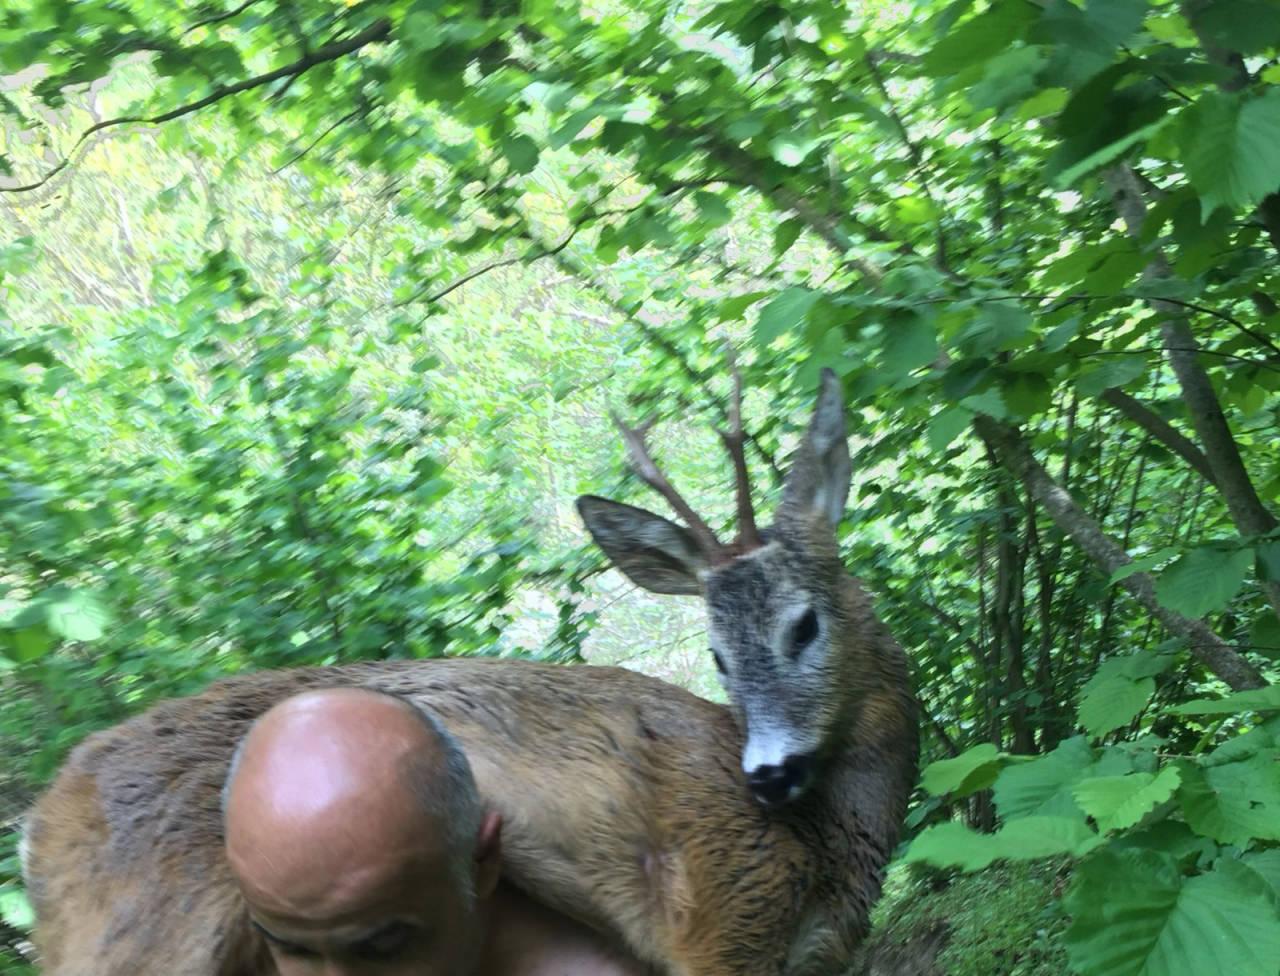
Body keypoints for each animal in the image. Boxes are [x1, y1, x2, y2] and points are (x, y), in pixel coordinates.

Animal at [22, 366, 921, 973]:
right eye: (717, 656)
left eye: (805, 624)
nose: (766, 773)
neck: (833, 843)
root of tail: (42, 825)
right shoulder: (724, 912)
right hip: (158, 937)